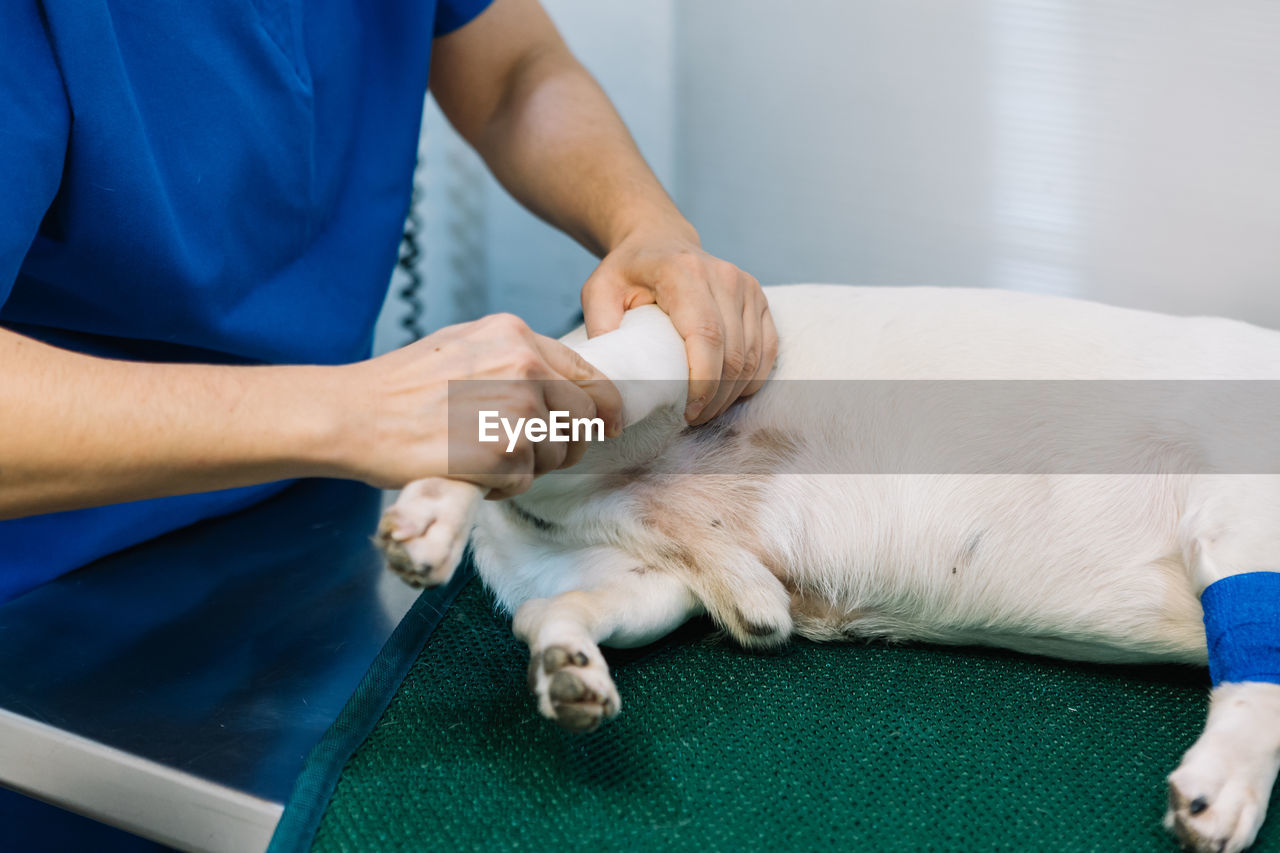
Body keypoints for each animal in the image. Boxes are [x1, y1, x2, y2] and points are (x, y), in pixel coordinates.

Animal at [373, 286, 1280, 850]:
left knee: (544, 614)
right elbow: (1261, 690)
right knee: (494, 426)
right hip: (637, 377)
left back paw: (571, 672)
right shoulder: (1243, 525)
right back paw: (430, 516)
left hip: (648, 588)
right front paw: (1229, 783)